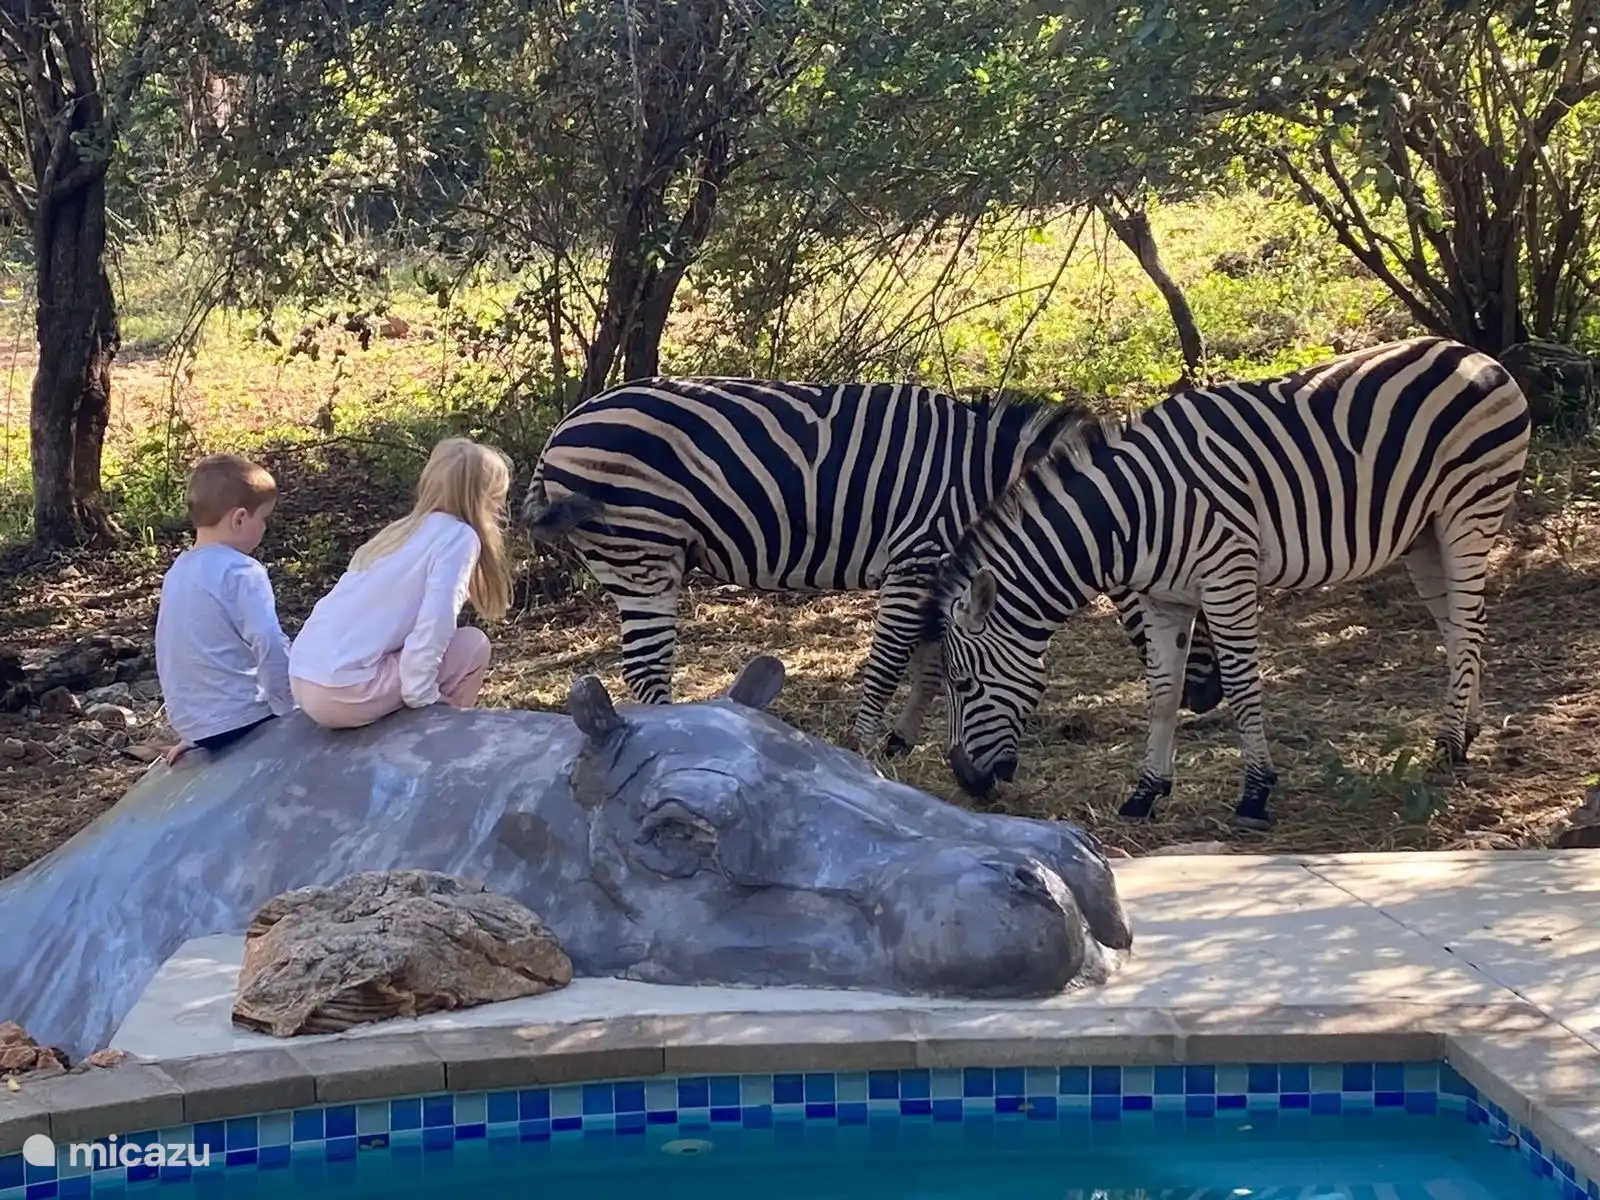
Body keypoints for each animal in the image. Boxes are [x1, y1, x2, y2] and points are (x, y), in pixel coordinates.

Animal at [519, 376, 1224, 755]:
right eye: (1191, 617)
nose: (1207, 699)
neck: (986, 480)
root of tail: (560, 432)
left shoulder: (945, 571)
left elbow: (934, 658)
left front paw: (900, 740)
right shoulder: (919, 556)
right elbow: (890, 661)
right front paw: (865, 745)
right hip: (643, 553)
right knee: (645, 668)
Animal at [917, 336, 1532, 829]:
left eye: (963, 684)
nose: (966, 783)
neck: (1129, 517)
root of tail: (1475, 354)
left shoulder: (1226, 576)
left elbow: (1239, 685)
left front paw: (1255, 794)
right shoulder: (1163, 598)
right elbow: (1163, 692)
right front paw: (1146, 793)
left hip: (1467, 513)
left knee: (1470, 625)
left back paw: (1449, 748)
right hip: (1423, 536)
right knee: (1455, 629)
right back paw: (1465, 730)